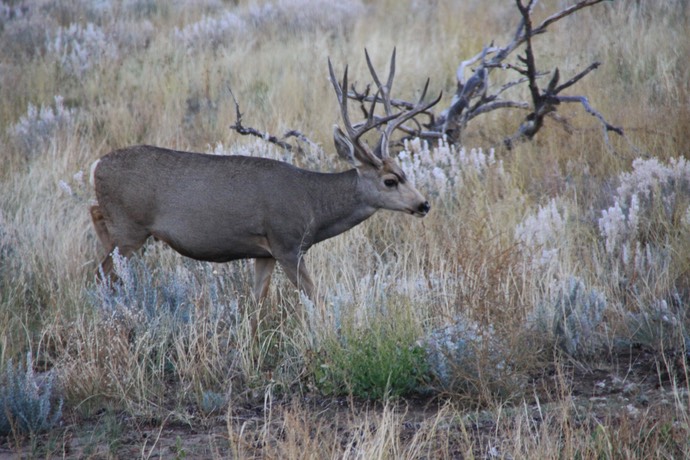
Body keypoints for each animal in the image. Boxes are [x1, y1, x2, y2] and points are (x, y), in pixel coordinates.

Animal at [90, 50, 440, 304]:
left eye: (404, 172)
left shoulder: (264, 253)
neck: (313, 204)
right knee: (102, 272)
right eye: (390, 181)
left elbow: (257, 304)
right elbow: (315, 298)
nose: (424, 205)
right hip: (130, 229)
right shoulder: (286, 244)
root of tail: (97, 166)